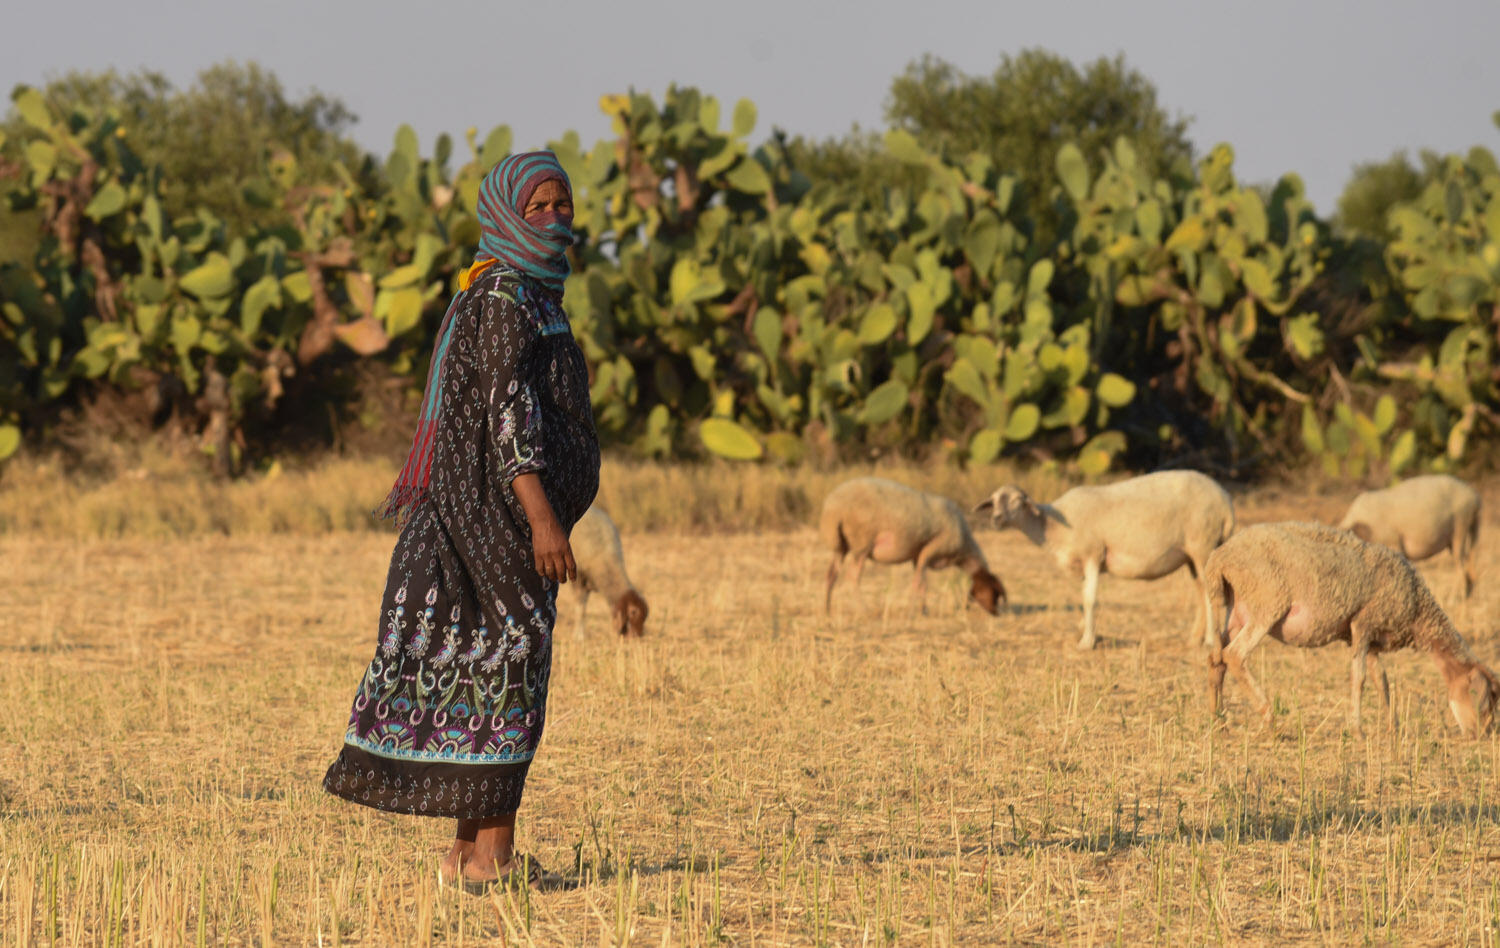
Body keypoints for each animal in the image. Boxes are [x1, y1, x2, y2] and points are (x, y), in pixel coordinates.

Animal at [822, 477, 1008, 618]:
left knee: (831, 574)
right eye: (994, 592)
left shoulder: (917, 556)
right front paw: (917, 612)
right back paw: (864, 610)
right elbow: (920, 583)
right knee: (852, 577)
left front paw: (920, 608)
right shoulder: (931, 549)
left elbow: (918, 580)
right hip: (861, 543)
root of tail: (833, 507)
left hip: (840, 545)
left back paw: (827, 609)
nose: (996, 613)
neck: (964, 549)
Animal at [978, 471, 1236, 648]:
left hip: (1203, 544)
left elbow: (1090, 599)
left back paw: (1210, 641)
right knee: (1201, 590)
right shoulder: (1084, 562)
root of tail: (1225, 501)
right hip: (1192, 554)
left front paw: (1086, 642)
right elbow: (1083, 597)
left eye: (1017, 502)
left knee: (1210, 592)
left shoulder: (1093, 554)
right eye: (993, 500)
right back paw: (1195, 638)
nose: (996, 519)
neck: (1051, 526)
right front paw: (1084, 630)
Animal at [1206, 522, 1500, 738]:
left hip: (1238, 608)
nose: (1484, 735)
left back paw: (1219, 721)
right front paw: (1358, 730)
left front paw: (1392, 726)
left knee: (1216, 657)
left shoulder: (1372, 638)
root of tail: (1219, 558)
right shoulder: (1363, 623)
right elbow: (1358, 678)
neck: (1418, 610)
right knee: (1234, 655)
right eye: (1483, 698)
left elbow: (1381, 680)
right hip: (1267, 602)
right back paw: (1268, 718)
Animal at [1344, 474, 1482, 600]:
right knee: (1469, 564)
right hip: (1460, 533)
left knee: (1461, 565)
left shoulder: (1393, 544)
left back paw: (1455, 598)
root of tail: (1474, 497)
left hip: (1460, 525)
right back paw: (1469, 594)